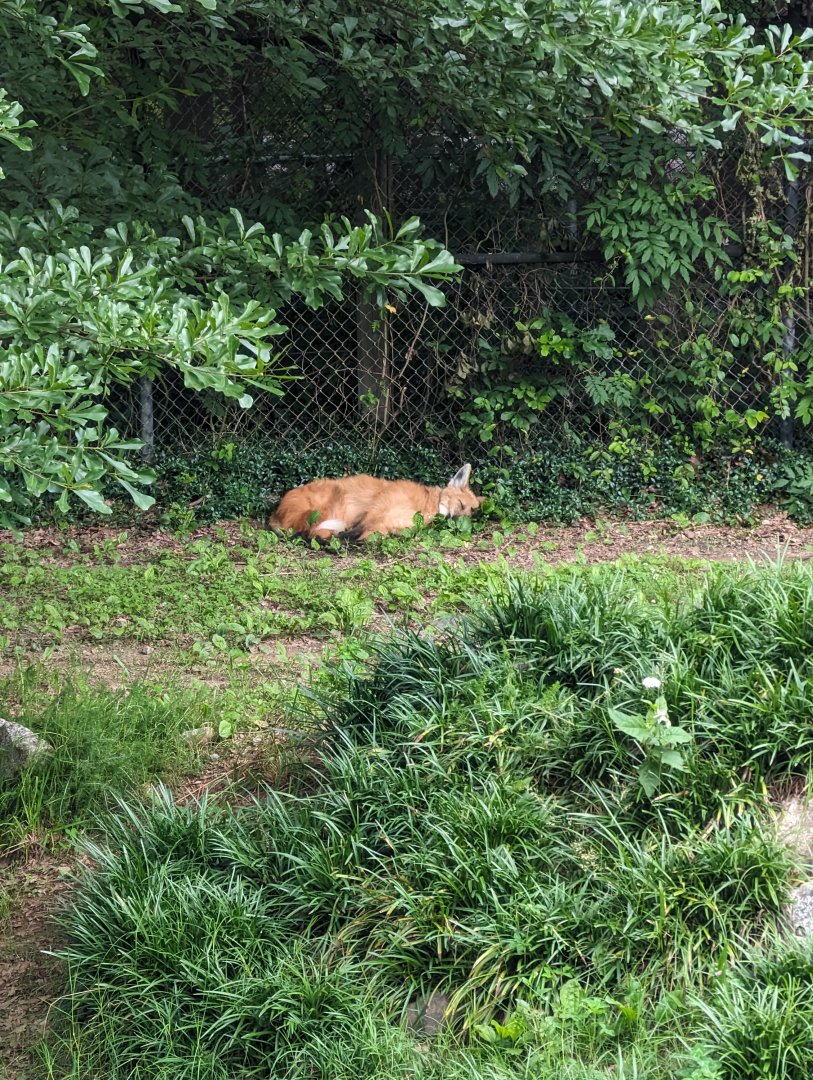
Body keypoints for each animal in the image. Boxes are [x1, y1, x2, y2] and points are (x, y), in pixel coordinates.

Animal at [269, 464, 481, 542]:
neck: (427, 504)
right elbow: (361, 530)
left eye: (468, 514)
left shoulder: (391, 522)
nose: (455, 521)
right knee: (311, 532)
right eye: (461, 505)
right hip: (330, 503)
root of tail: (275, 513)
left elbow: (370, 533)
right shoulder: (378, 508)